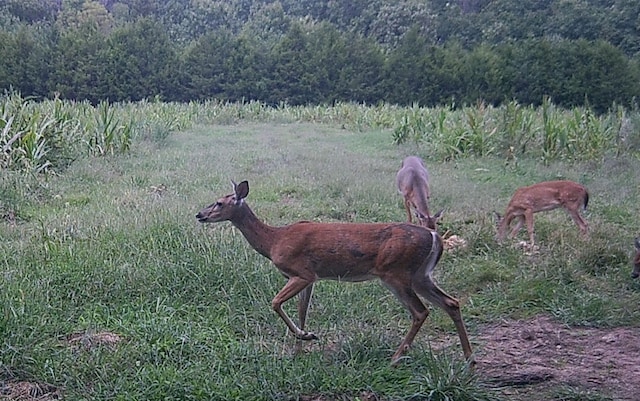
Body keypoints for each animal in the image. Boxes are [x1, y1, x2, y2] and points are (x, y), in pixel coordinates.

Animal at [198, 180, 472, 364]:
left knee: (420, 311)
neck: (274, 240)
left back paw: (395, 357)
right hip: (420, 275)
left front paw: (304, 338)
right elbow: (302, 311)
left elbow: (276, 303)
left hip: (396, 272)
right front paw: (301, 345)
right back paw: (469, 358)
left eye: (219, 202)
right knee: (451, 302)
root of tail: (435, 236)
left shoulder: (302, 272)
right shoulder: (310, 278)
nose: (200, 214)